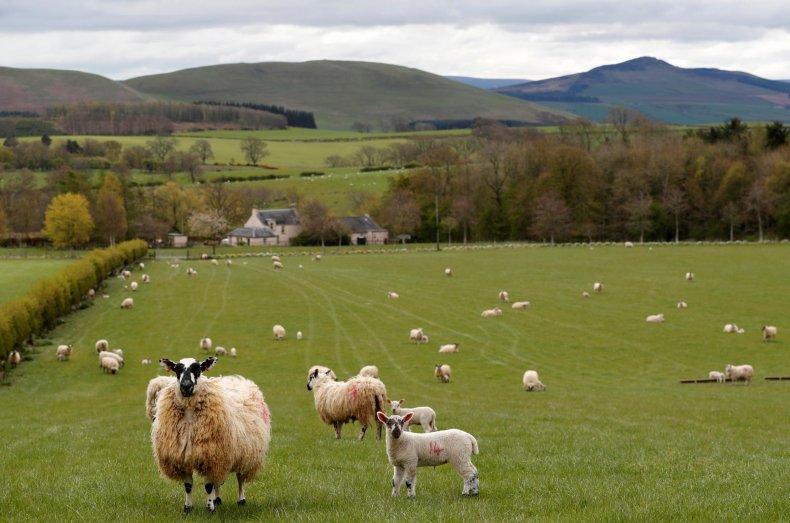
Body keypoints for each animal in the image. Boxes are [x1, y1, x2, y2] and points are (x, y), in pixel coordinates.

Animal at [153, 358, 274, 512]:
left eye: (198, 369)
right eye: (177, 369)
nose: (186, 386)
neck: (189, 415)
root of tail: (235, 379)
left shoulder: (211, 456)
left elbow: (208, 486)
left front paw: (210, 509)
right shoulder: (185, 457)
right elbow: (188, 486)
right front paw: (188, 508)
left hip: (245, 453)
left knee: (240, 478)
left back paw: (241, 500)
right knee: (218, 480)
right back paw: (217, 499)